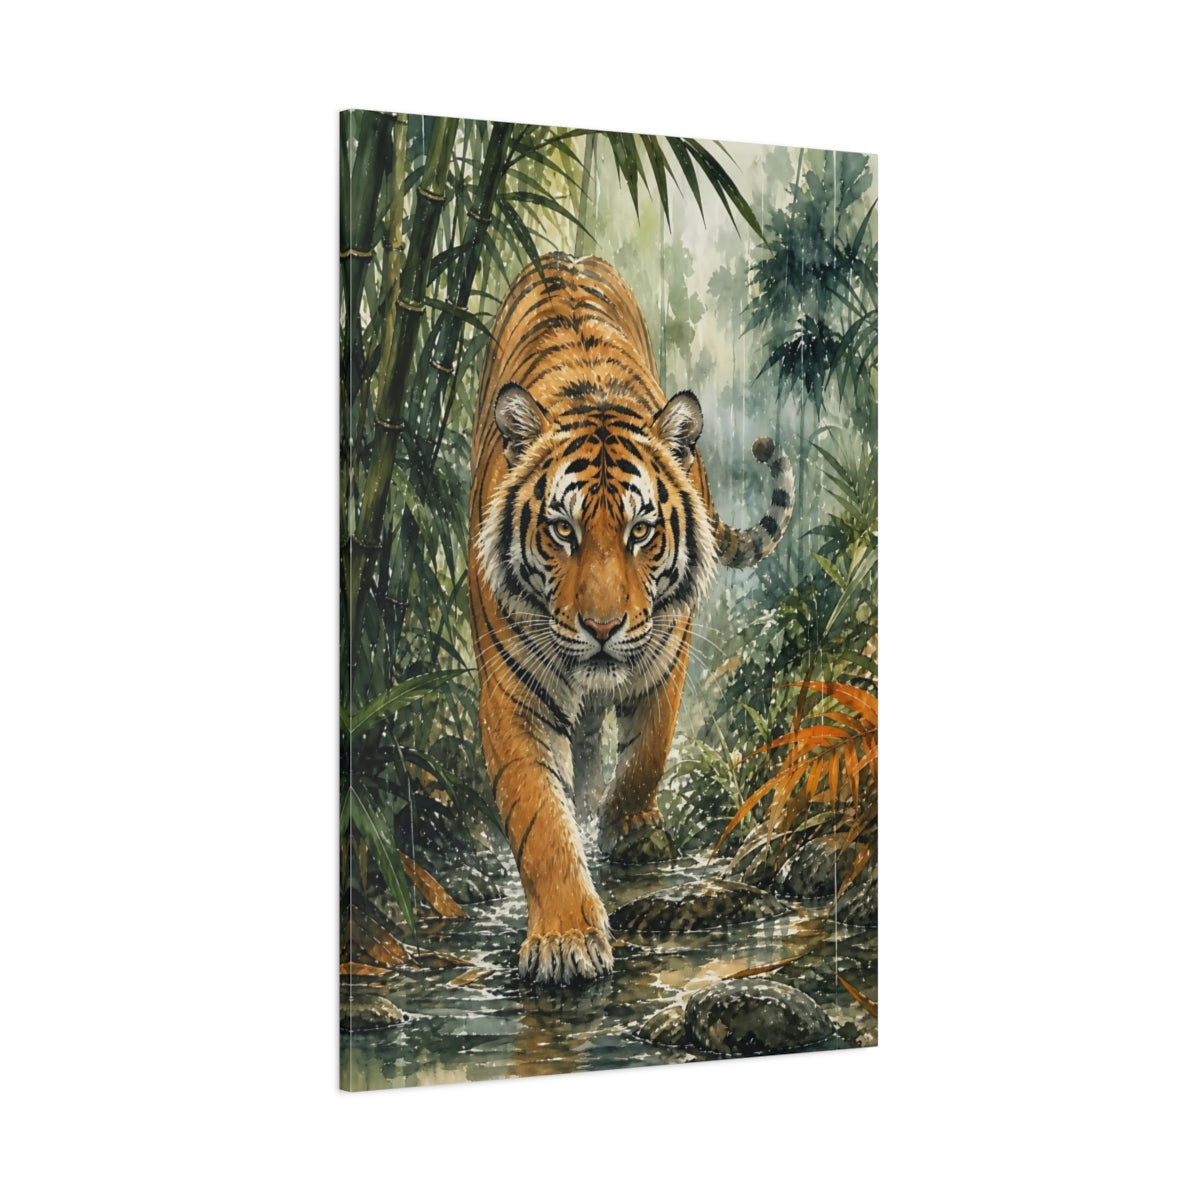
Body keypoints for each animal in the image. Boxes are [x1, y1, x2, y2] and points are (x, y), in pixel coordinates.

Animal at [468, 253, 793, 986]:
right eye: (561, 530)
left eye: (641, 531)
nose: (602, 627)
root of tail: (567, 257)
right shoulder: (511, 691)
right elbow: (540, 818)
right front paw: (565, 939)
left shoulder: (667, 652)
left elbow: (648, 753)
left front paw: (633, 834)